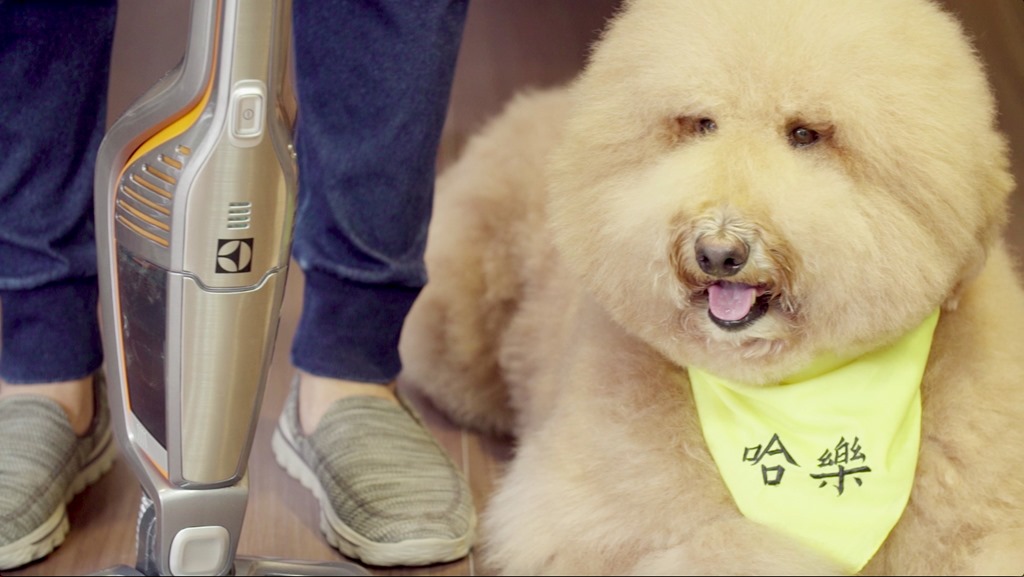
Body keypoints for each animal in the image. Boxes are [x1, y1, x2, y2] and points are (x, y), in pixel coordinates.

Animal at [399, 0, 1024, 573]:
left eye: (806, 134)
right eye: (702, 124)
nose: (718, 252)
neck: (795, 395)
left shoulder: (991, 515)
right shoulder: (590, 516)